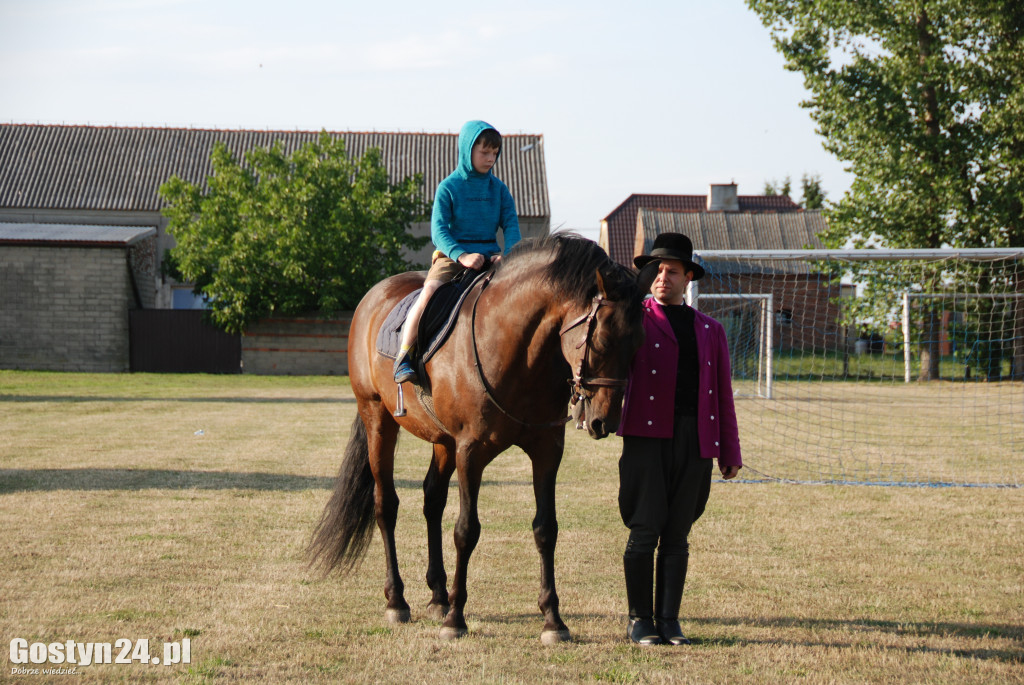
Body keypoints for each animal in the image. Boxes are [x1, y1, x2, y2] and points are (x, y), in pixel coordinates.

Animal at [311, 235, 643, 643]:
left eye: (638, 344)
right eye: (603, 340)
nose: (603, 421)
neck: (517, 352)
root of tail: (373, 296)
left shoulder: (547, 451)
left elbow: (545, 529)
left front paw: (553, 619)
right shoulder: (472, 452)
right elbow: (466, 531)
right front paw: (456, 619)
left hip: (442, 441)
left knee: (432, 500)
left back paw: (438, 595)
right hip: (377, 419)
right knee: (386, 505)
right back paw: (398, 600)